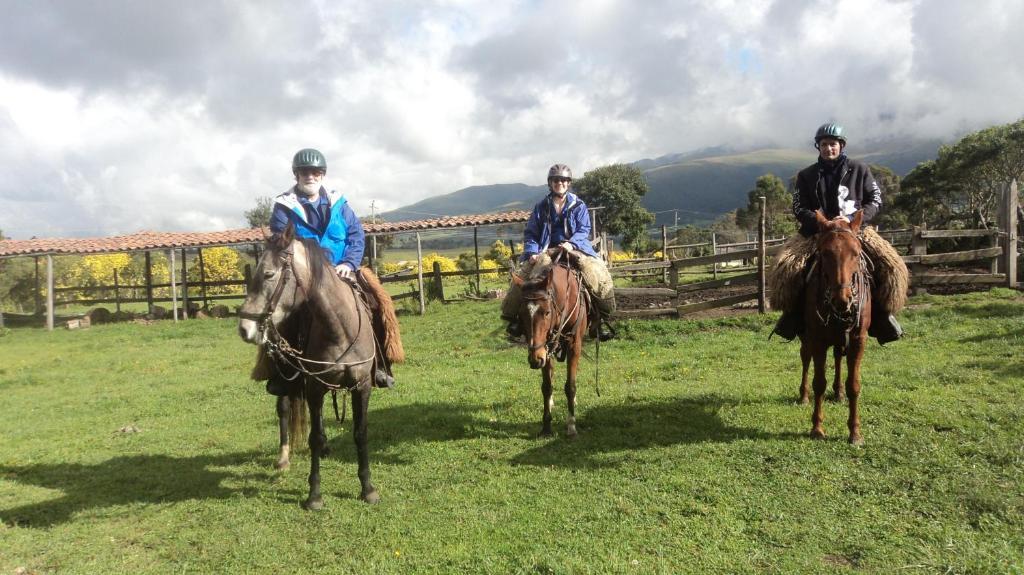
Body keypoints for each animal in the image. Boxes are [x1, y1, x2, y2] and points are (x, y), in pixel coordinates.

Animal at [238, 224, 380, 505]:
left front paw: (367, 488)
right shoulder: (314, 386)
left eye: (269, 274)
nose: (244, 329)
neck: (340, 328)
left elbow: (360, 432)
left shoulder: (362, 385)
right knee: (283, 409)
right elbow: (313, 437)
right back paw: (283, 458)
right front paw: (314, 495)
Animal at [509, 243, 589, 435]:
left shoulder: (574, 345)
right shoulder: (544, 348)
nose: (535, 360)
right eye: (521, 315)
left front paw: (571, 426)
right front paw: (546, 426)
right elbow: (546, 386)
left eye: (546, 312)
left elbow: (570, 386)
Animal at [798, 210, 872, 444]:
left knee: (838, 357)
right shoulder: (817, 340)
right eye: (824, 253)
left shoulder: (858, 340)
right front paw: (817, 428)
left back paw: (838, 393)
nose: (843, 298)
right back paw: (803, 395)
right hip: (807, 339)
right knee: (805, 359)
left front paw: (855, 432)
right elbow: (819, 383)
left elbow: (854, 385)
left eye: (856, 253)